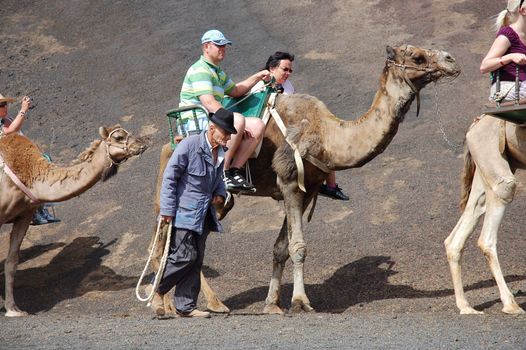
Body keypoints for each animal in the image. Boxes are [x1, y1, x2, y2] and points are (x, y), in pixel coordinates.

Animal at [1, 124, 150, 316]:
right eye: (118, 137)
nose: (143, 142)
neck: (29, 173)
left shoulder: (24, 215)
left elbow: (12, 262)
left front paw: (14, 310)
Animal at [150, 44, 462, 314]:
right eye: (418, 57)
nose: (452, 60)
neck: (326, 135)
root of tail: (171, 142)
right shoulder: (290, 182)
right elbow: (298, 247)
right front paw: (300, 302)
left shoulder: (308, 189)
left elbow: (281, 248)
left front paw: (273, 305)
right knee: (170, 241)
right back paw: (175, 305)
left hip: (218, 200)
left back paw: (182, 303)